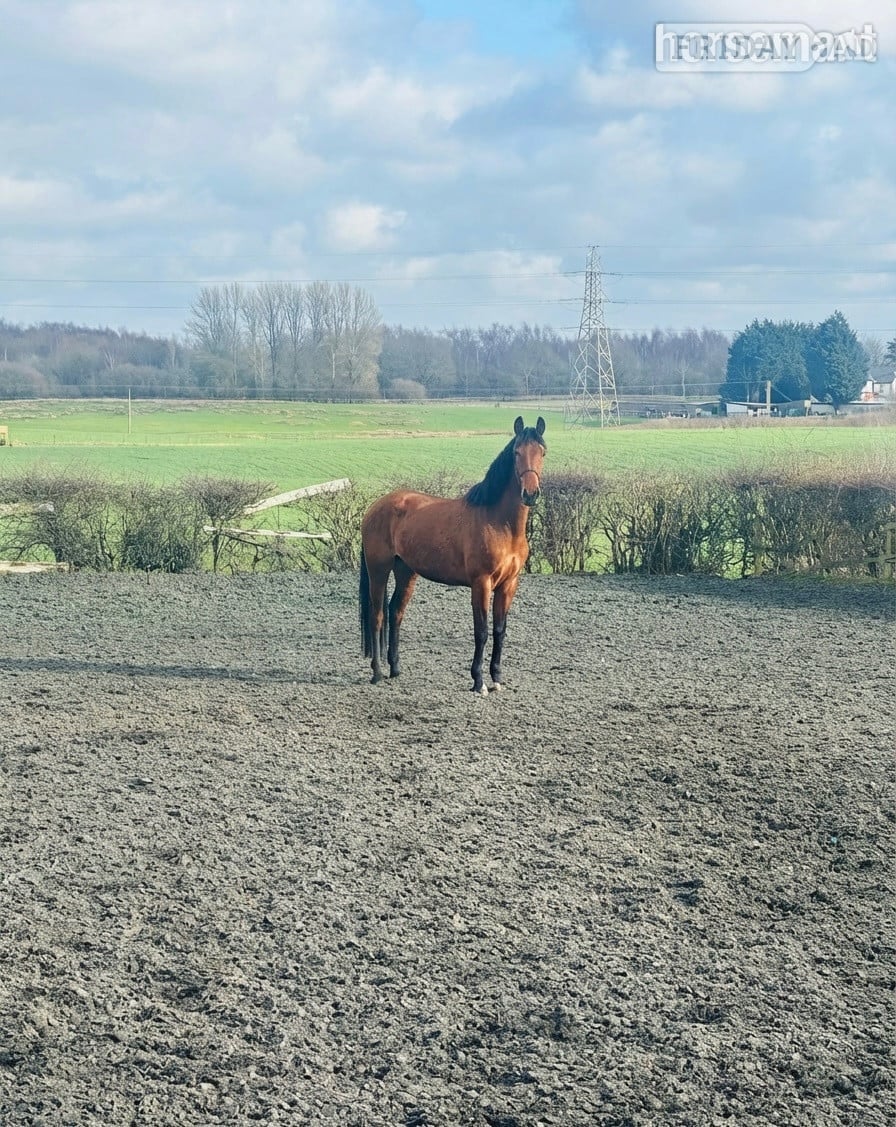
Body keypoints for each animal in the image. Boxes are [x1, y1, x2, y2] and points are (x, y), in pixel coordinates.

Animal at [359, 415, 546, 694]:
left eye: (542, 452)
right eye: (516, 452)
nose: (530, 494)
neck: (499, 523)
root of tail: (375, 507)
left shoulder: (509, 584)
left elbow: (499, 631)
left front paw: (496, 678)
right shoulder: (481, 583)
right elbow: (482, 631)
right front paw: (478, 681)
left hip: (406, 570)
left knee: (395, 611)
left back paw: (395, 669)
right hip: (378, 569)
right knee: (378, 615)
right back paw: (378, 673)